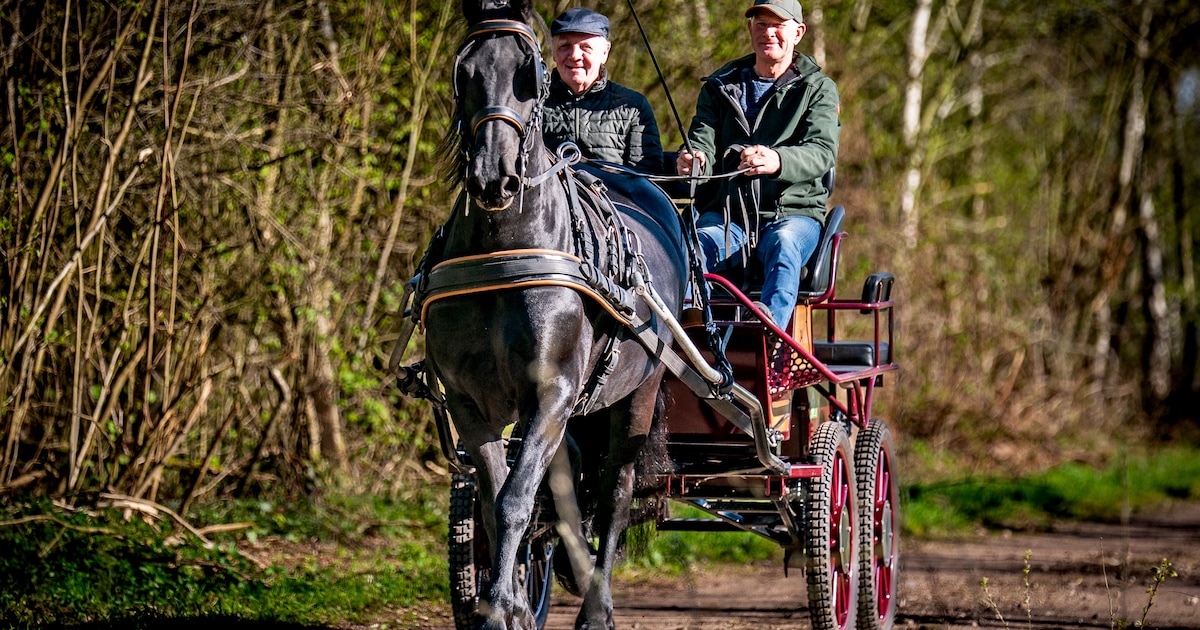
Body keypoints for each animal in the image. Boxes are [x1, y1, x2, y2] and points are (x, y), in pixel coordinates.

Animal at [419, 1, 687, 628]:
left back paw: (597, 606)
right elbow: (496, 501)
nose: (493, 178)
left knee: (614, 492)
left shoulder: (551, 392)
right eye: (463, 71)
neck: (504, 251)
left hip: (636, 393)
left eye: (530, 74)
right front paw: (507, 605)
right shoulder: (469, 401)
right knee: (566, 492)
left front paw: (501, 602)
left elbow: (516, 500)